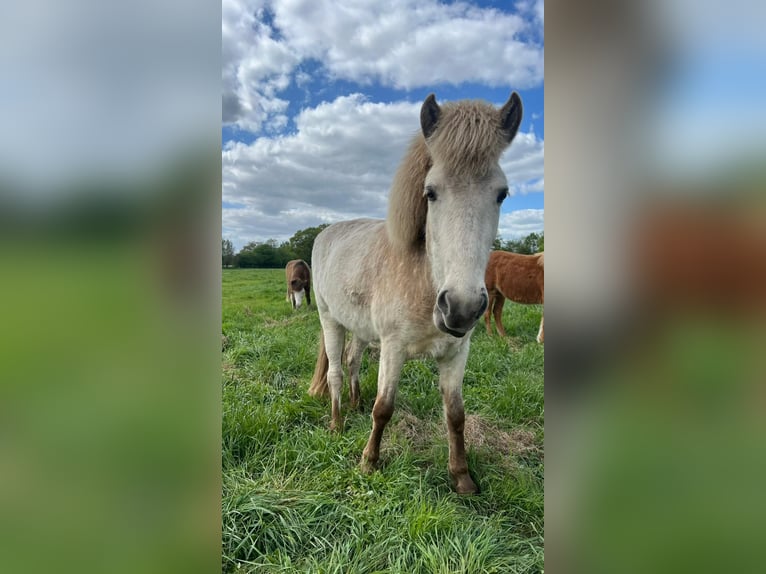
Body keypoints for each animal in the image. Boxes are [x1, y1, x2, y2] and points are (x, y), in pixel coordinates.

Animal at [308, 91, 522, 494]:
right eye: (430, 192)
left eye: (501, 194)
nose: (461, 308)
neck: (424, 280)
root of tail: (326, 232)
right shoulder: (393, 349)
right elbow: (384, 407)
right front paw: (369, 462)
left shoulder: (456, 353)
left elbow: (455, 414)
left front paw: (462, 476)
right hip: (330, 320)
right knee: (335, 373)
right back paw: (337, 423)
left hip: (360, 329)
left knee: (353, 361)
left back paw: (354, 406)